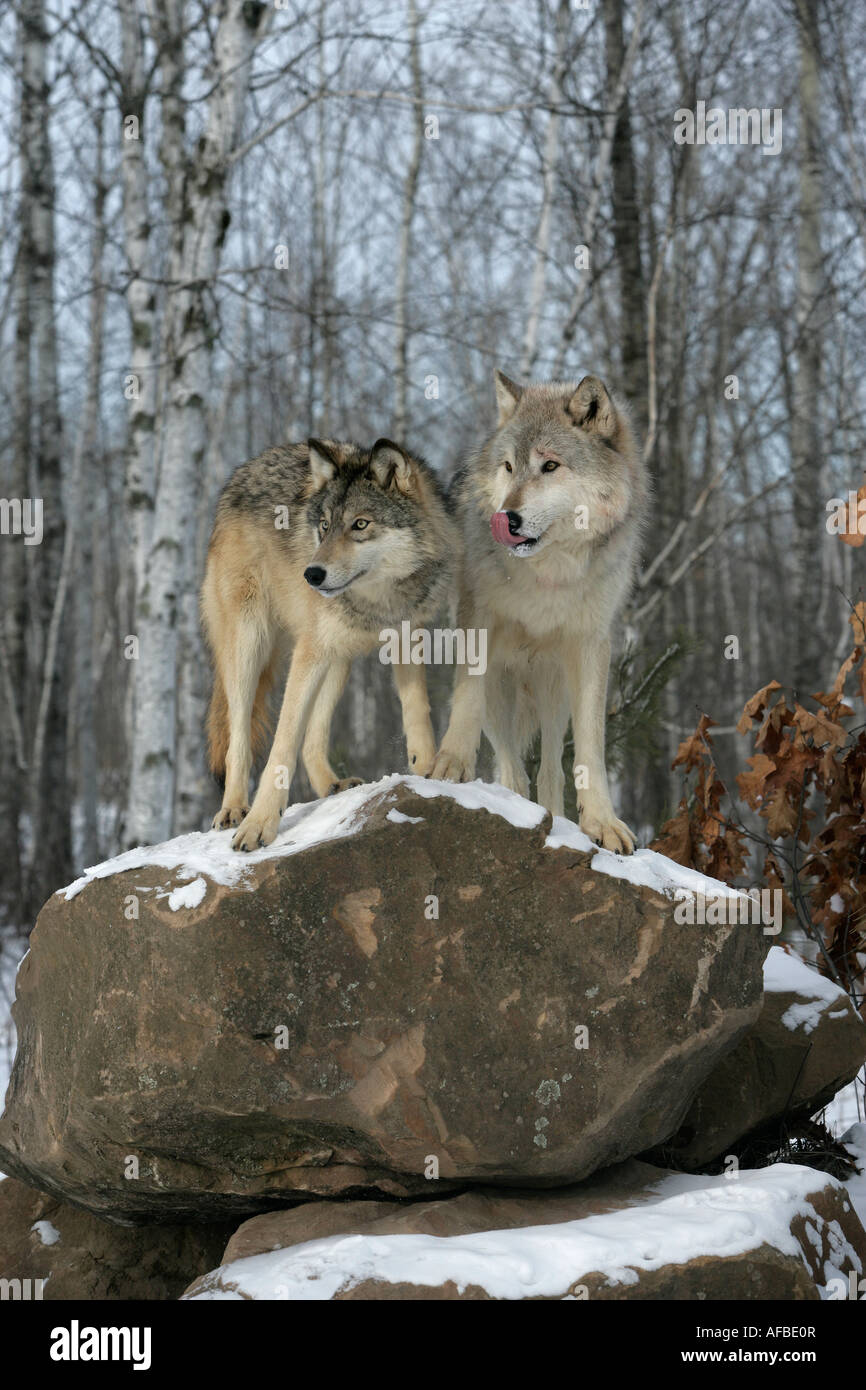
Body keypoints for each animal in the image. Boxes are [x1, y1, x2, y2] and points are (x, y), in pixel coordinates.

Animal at [202, 437, 456, 851]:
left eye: (360, 524)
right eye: (324, 526)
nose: (311, 574)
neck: (377, 602)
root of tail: (245, 469)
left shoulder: (406, 636)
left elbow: (417, 711)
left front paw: (428, 772)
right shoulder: (308, 651)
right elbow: (282, 742)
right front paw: (259, 823)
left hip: (339, 657)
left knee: (312, 738)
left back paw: (331, 785)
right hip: (250, 644)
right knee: (238, 738)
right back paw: (233, 809)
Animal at [429, 371, 648, 853]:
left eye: (550, 466)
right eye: (509, 467)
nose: (505, 518)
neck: (548, 572)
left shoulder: (591, 646)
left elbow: (590, 750)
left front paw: (602, 822)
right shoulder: (478, 624)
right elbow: (466, 702)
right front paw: (450, 764)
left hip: (554, 691)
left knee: (549, 770)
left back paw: (558, 819)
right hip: (502, 689)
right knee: (512, 768)